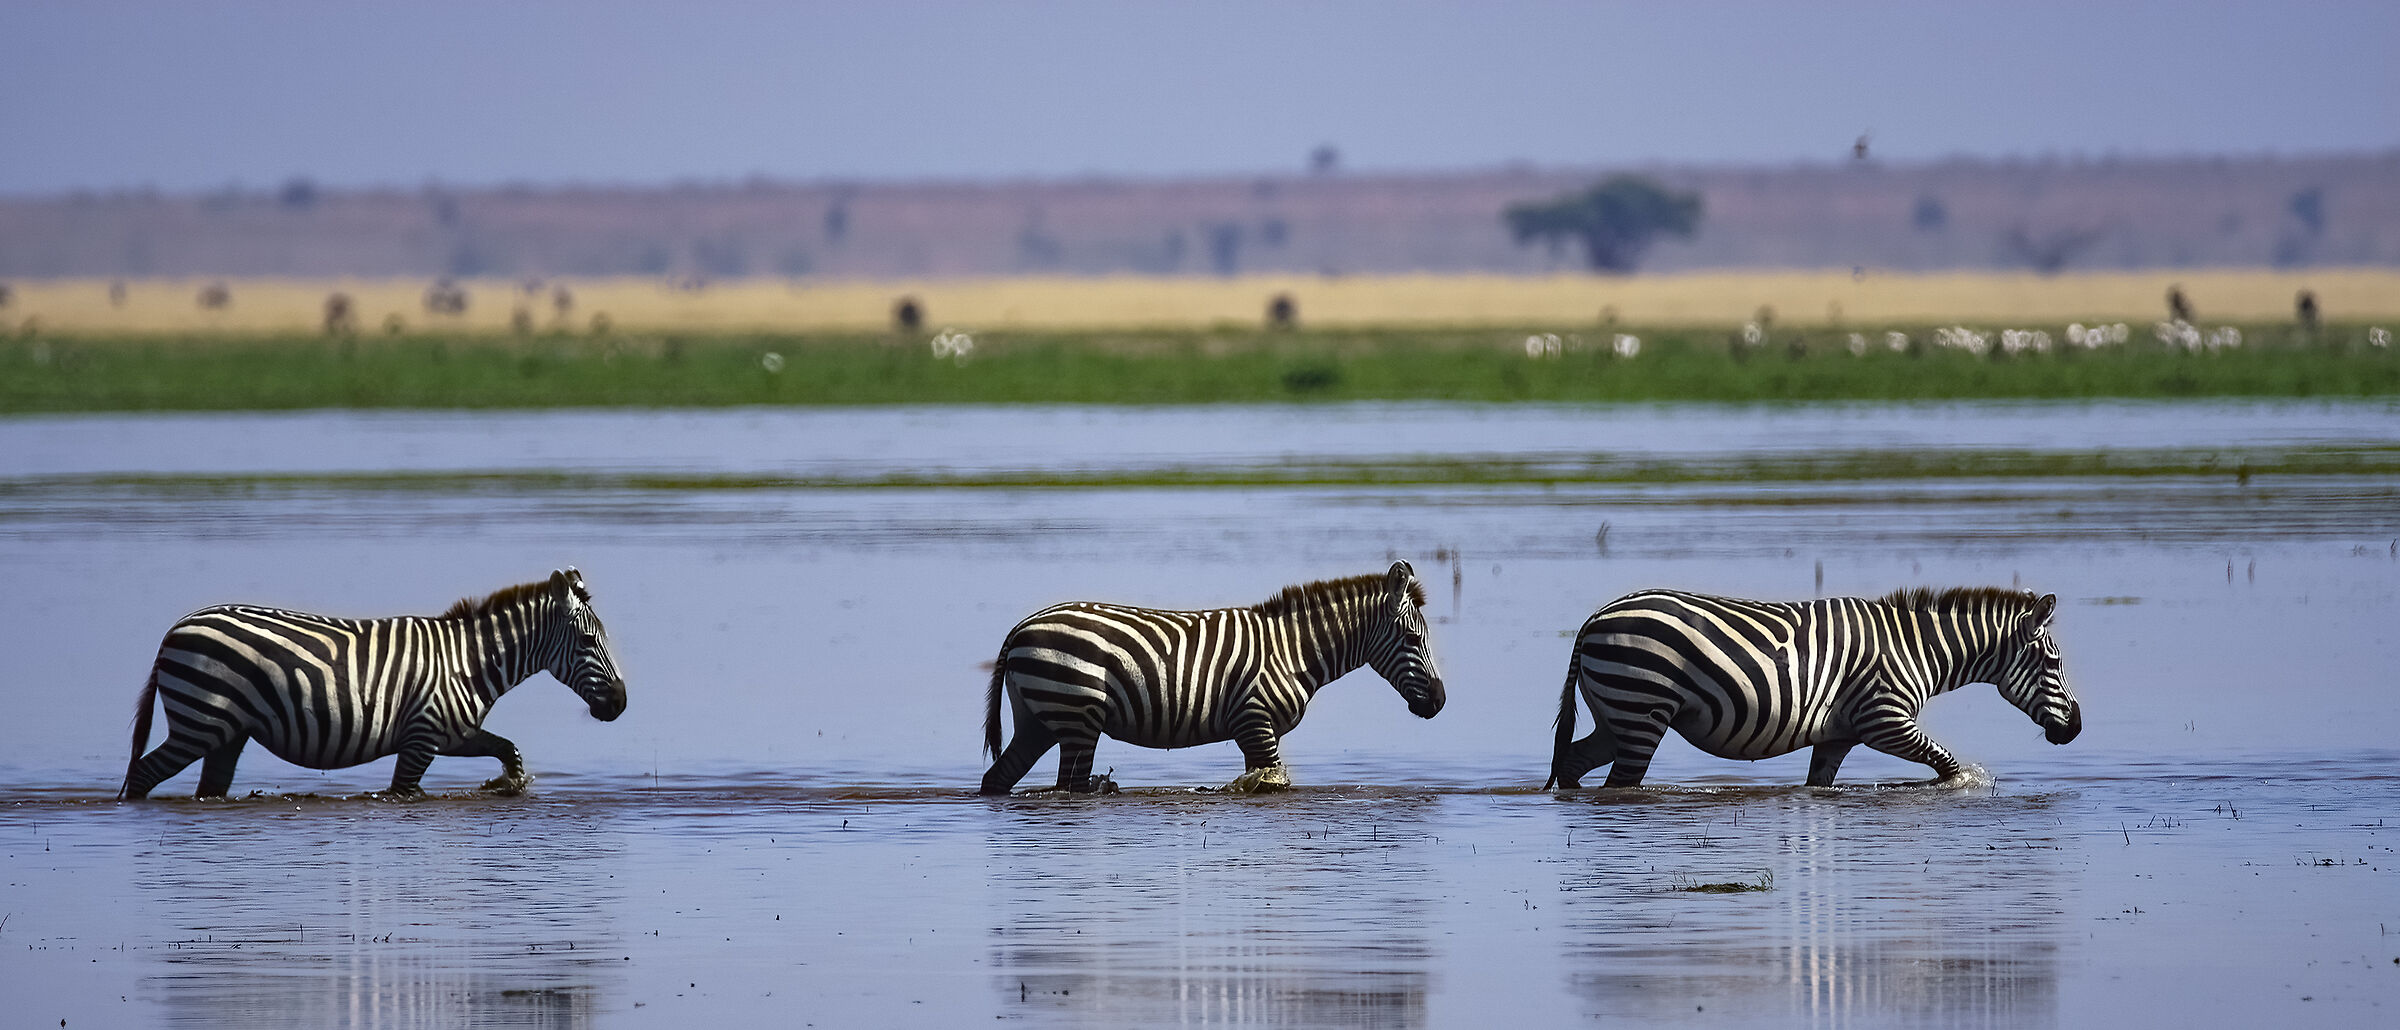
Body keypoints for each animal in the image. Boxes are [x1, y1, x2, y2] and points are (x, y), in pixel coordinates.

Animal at [122, 568, 627, 800]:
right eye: (588, 641)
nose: (620, 704)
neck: (468, 663)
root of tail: (176, 628)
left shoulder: (453, 734)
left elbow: (511, 751)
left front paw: (506, 787)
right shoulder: (422, 739)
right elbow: (403, 791)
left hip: (227, 734)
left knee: (208, 789)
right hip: (199, 722)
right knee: (143, 774)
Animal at [981, 561, 1446, 795]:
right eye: (1412, 638)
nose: (1439, 701)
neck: (1291, 652)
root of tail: (1020, 628)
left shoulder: (1258, 732)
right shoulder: (1256, 724)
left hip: (1038, 721)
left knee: (998, 779)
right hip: (1077, 719)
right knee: (1069, 786)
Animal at [1546, 586, 2080, 788]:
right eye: (2053, 662)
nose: (2075, 729)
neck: (1917, 649)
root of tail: (1593, 619)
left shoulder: (1837, 737)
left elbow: (1818, 785)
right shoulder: (1885, 720)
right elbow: (1947, 764)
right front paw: (1956, 786)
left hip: (1617, 717)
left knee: (1573, 763)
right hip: (1641, 711)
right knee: (1619, 783)